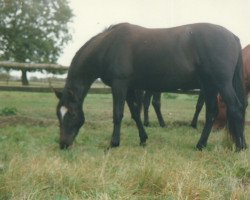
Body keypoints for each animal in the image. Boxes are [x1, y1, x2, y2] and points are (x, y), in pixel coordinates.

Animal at [55, 22, 246, 151]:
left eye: (71, 114)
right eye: (59, 114)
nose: (63, 144)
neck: (108, 46)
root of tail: (233, 36)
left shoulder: (119, 85)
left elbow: (118, 114)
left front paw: (113, 143)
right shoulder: (130, 88)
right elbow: (135, 113)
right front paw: (143, 138)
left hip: (221, 84)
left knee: (236, 108)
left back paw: (240, 146)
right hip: (209, 86)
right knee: (212, 113)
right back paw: (201, 145)